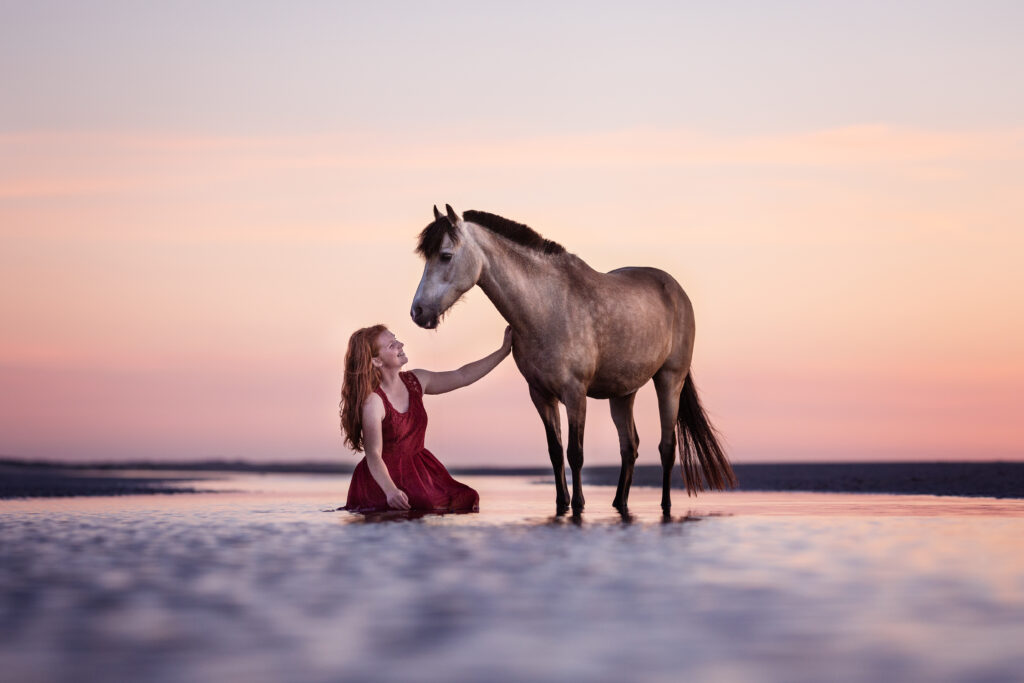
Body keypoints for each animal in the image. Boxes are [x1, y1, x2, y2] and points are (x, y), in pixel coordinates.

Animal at [409, 205, 737, 516]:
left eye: (446, 256)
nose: (418, 312)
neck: (545, 308)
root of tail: (676, 290)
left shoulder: (575, 394)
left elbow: (574, 453)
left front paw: (578, 505)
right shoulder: (541, 395)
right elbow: (555, 451)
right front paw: (561, 503)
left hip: (669, 380)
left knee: (667, 448)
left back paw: (665, 504)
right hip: (623, 393)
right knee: (629, 447)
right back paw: (619, 503)